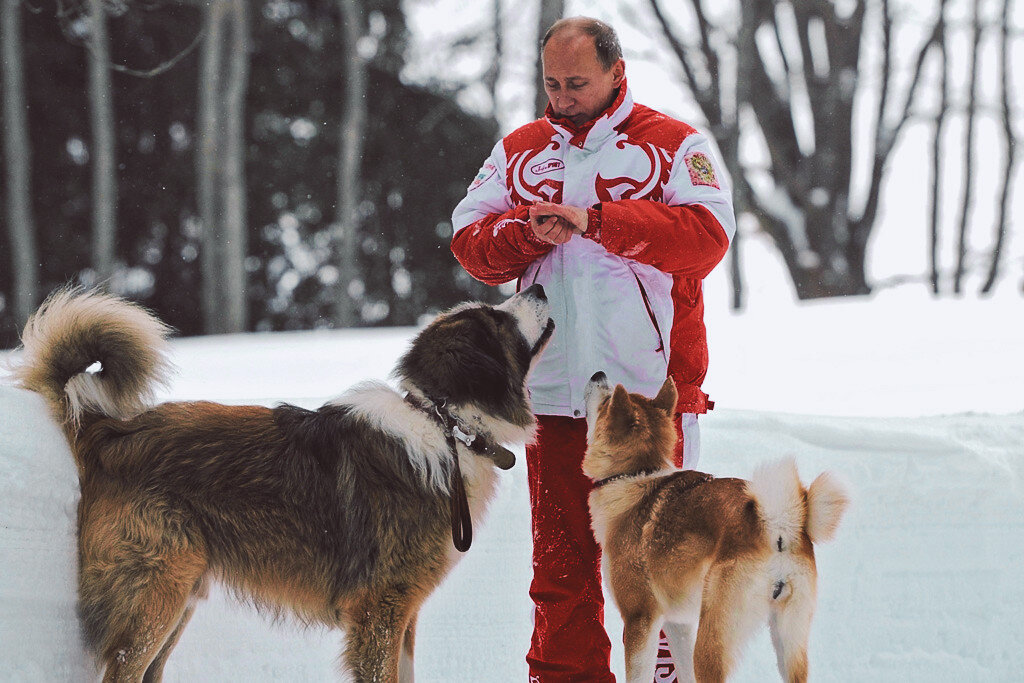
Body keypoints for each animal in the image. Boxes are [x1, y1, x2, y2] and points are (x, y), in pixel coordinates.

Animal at [9, 286, 552, 683]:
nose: (539, 285)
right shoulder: (380, 609)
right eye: (498, 321)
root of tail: (107, 429)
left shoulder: (403, 613)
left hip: (180, 592)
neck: (446, 425)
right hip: (158, 588)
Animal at [581, 374, 851, 683]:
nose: (598, 375)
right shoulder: (678, 625)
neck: (637, 475)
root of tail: (778, 527)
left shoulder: (641, 619)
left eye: (606, 400)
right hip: (789, 642)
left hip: (711, 639)